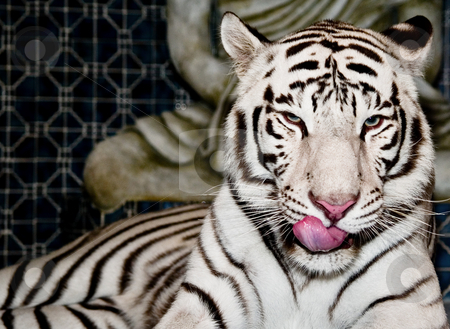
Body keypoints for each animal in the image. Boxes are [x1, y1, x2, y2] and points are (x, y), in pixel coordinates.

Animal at [0, 11, 450, 328]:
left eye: (372, 122)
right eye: (293, 119)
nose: (333, 207)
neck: (312, 277)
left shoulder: (406, 306)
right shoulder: (208, 298)